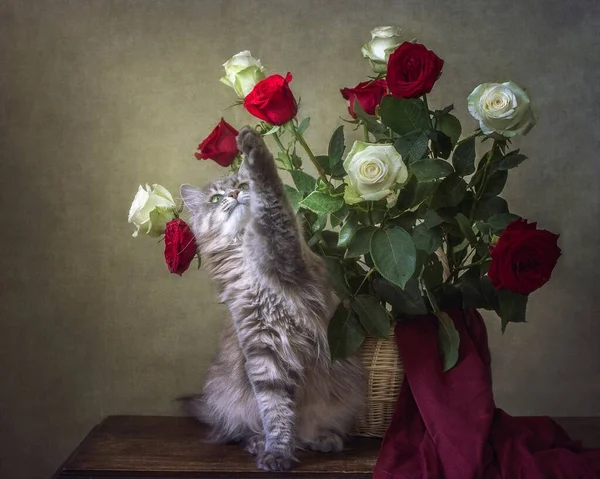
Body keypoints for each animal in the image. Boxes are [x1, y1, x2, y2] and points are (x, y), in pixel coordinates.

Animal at [179, 126, 366, 472]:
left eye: (241, 186)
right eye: (215, 199)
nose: (233, 195)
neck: (248, 258)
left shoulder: (288, 253)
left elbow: (270, 197)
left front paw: (253, 146)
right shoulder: (261, 346)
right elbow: (275, 409)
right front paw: (276, 451)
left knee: (311, 430)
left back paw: (323, 440)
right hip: (230, 397)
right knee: (241, 429)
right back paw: (257, 442)